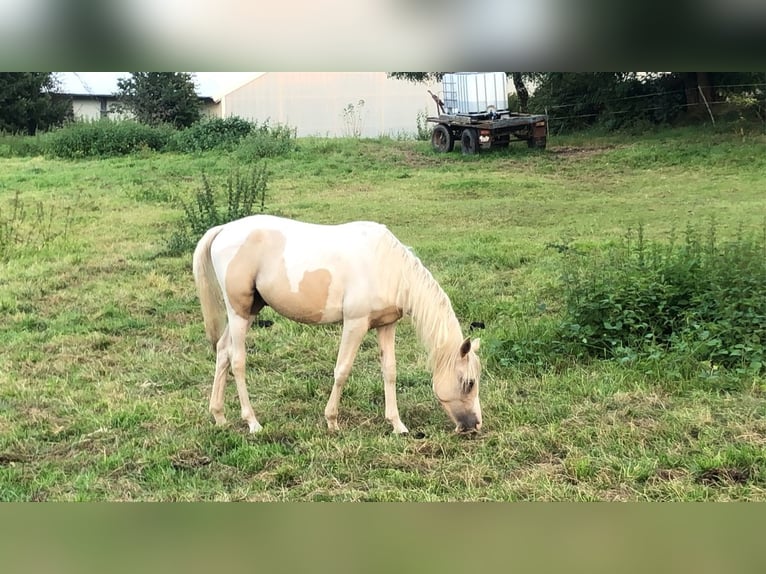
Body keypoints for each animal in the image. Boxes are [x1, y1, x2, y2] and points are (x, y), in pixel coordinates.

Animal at [192, 216, 484, 436]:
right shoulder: (355, 324)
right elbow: (342, 370)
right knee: (237, 360)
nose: (475, 425)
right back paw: (252, 422)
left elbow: (389, 372)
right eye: (468, 383)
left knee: (222, 351)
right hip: (238, 312)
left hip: (250, 310)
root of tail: (223, 230)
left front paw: (397, 425)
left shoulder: (386, 325)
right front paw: (331, 420)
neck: (387, 266)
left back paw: (219, 416)